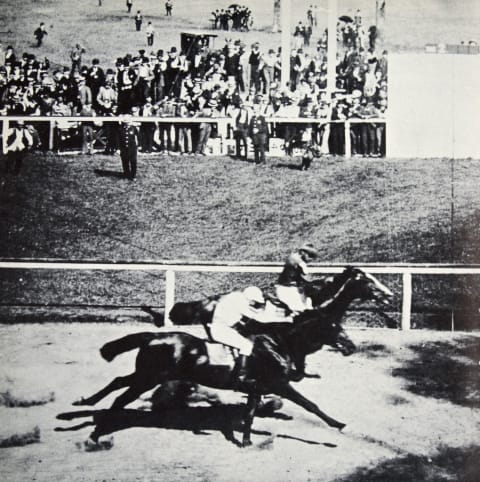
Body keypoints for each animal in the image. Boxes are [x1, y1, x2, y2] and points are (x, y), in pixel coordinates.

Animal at [73, 266, 392, 446]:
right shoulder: (278, 383)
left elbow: (252, 410)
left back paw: (85, 404)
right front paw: (337, 425)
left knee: (118, 381)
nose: (389, 295)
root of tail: (153, 336)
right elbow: (308, 402)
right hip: (149, 376)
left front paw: (246, 439)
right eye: (368, 281)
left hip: (146, 374)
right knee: (120, 398)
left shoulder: (259, 384)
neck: (280, 340)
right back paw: (96, 434)